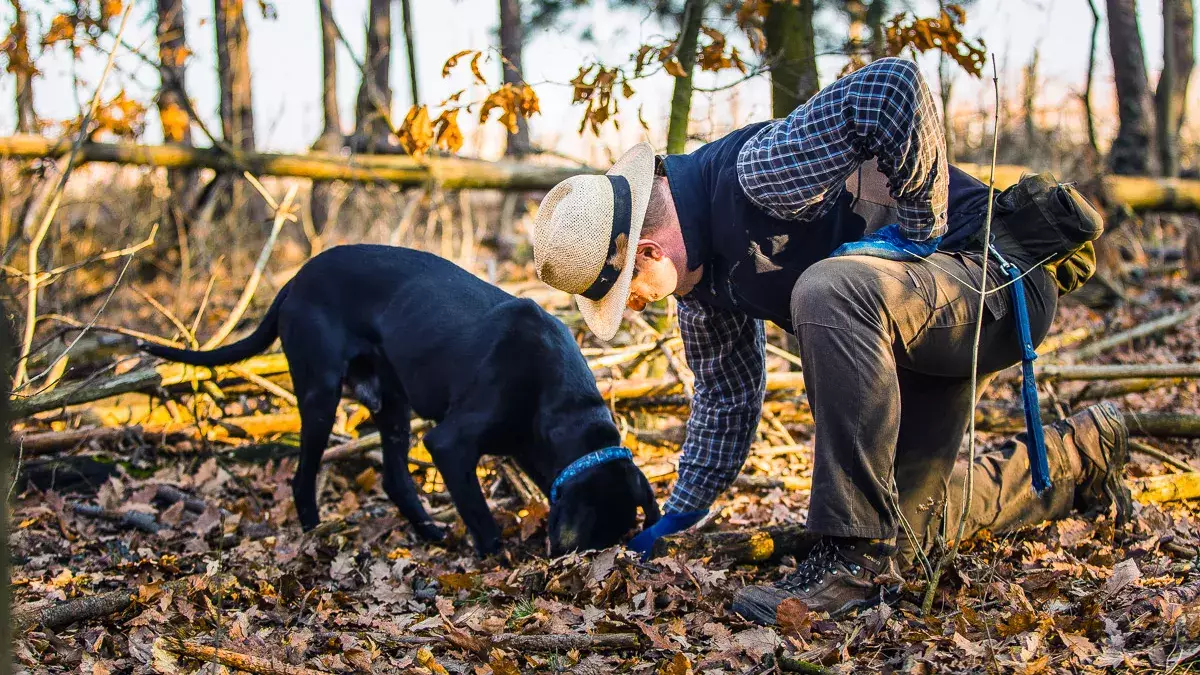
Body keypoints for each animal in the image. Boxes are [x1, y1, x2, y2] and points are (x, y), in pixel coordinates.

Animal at [147, 241, 667, 552]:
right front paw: (496, 558)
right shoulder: (451, 444)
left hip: (390, 402)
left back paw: (430, 532)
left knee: (396, 479)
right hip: (320, 394)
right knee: (303, 476)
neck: (558, 399)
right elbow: (480, 515)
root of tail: (295, 280)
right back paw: (315, 532)